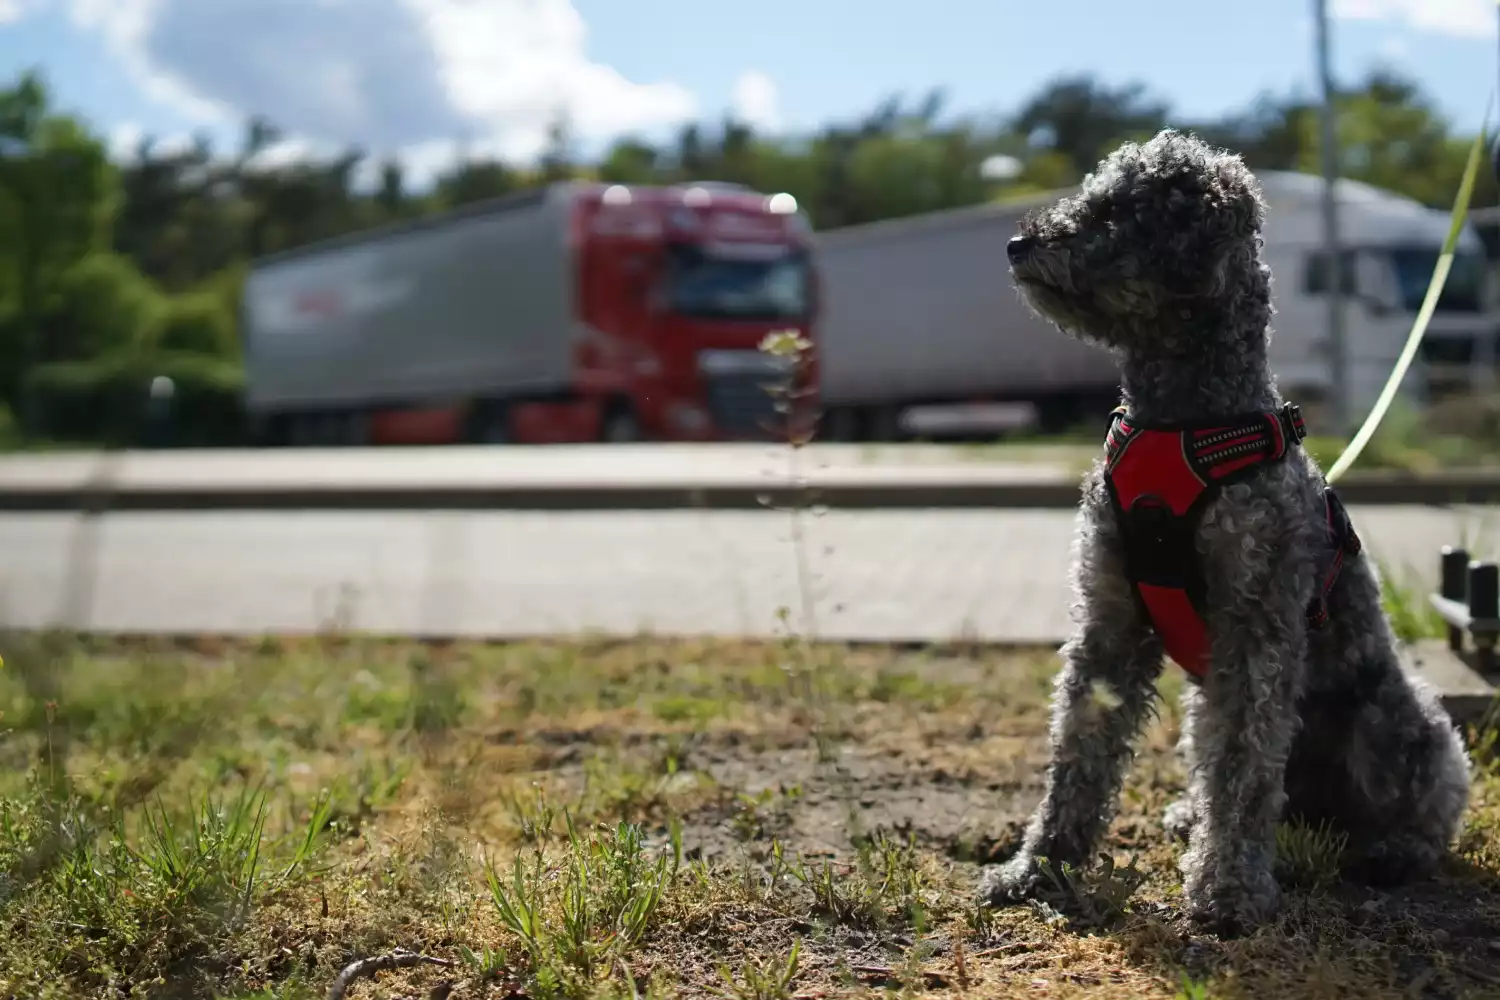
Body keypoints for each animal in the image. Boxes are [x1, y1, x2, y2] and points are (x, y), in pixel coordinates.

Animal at [978, 127, 1470, 941]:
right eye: (1092, 195)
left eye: (1120, 212)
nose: (1019, 243)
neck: (1180, 421)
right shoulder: (1109, 622)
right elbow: (1079, 750)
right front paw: (1039, 867)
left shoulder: (1253, 628)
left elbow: (1240, 765)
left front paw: (1228, 891)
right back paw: (1188, 814)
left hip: (1398, 724)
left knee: (1418, 801)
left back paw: (1395, 850)